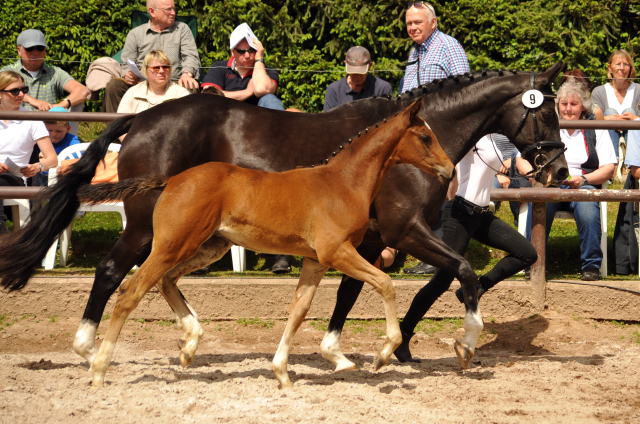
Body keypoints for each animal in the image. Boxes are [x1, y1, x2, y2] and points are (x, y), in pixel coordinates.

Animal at [82, 98, 452, 388]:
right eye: (425, 136)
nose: (449, 170)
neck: (343, 182)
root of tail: (171, 180)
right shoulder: (338, 252)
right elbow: (385, 283)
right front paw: (383, 354)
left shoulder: (315, 261)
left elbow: (298, 311)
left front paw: (282, 373)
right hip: (172, 244)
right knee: (129, 290)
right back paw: (98, 368)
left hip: (207, 246)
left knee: (165, 280)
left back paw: (188, 346)